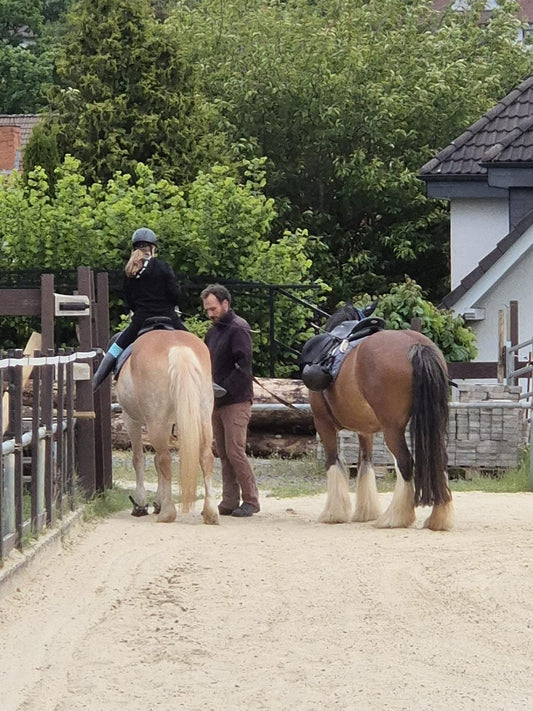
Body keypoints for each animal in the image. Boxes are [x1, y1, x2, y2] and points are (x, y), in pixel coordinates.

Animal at [115, 328, 219, 525]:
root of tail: (178, 347)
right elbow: (154, 461)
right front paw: (158, 501)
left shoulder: (131, 420)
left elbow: (139, 459)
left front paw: (141, 503)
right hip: (203, 418)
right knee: (206, 457)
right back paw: (210, 512)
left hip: (155, 422)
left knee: (165, 460)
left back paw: (167, 513)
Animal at [303, 304, 454, 531]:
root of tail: (416, 346)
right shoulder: (365, 431)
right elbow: (365, 464)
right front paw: (366, 512)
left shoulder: (323, 423)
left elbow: (332, 462)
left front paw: (333, 513)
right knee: (439, 461)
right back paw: (439, 517)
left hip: (392, 429)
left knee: (405, 462)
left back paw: (395, 517)